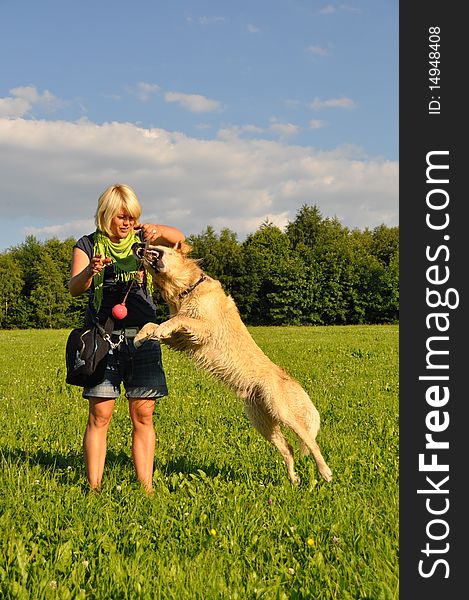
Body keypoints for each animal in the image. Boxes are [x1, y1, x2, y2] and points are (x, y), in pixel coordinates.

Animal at [132, 241, 330, 486]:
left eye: (156, 245)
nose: (137, 242)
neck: (186, 289)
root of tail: (287, 377)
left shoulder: (204, 328)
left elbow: (177, 319)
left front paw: (157, 330)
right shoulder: (182, 340)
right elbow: (153, 324)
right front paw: (140, 337)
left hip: (284, 413)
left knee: (312, 443)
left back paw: (325, 472)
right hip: (262, 422)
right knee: (288, 448)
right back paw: (293, 479)